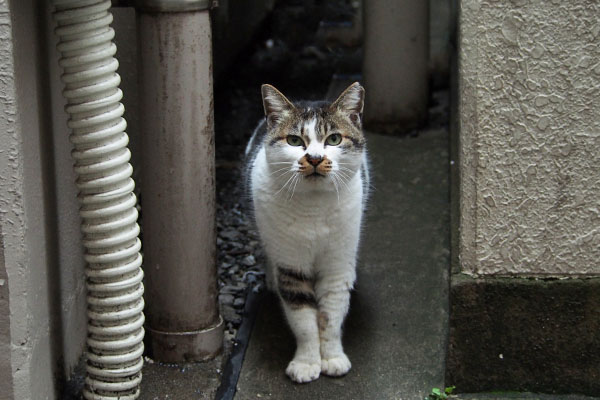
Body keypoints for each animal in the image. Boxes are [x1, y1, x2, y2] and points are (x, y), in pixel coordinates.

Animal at [245, 83, 368, 382]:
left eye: (334, 139)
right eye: (294, 140)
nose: (314, 158)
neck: (314, 207)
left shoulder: (337, 267)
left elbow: (330, 317)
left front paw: (333, 358)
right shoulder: (291, 266)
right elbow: (303, 321)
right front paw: (307, 363)